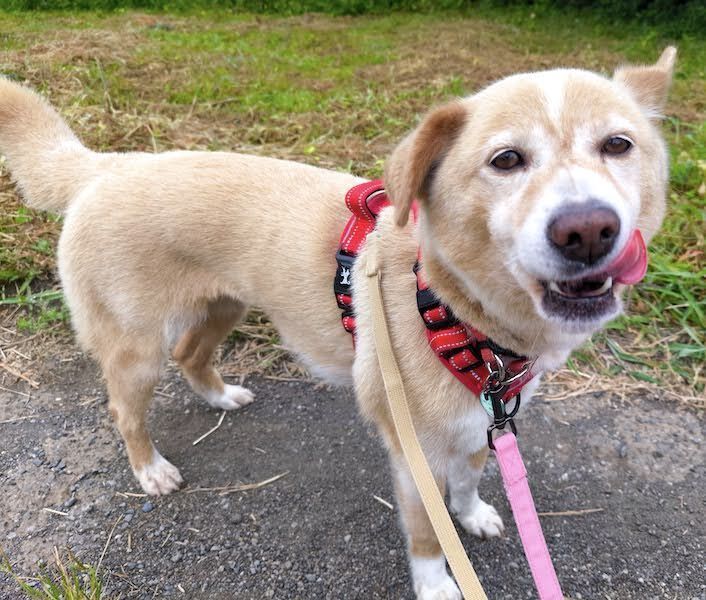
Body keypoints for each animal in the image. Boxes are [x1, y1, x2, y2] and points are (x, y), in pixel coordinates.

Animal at [0, 47, 674, 599]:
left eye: (618, 145)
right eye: (507, 159)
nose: (588, 228)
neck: (454, 305)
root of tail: (105, 167)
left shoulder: (482, 423)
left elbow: (468, 482)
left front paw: (474, 513)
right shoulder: (415, 454)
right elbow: (427, 532)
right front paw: (438, 583)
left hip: (225, 305)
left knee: (193, 354)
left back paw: (219, 397)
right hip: (138, 348)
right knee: (124, 409)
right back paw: (151, 470)